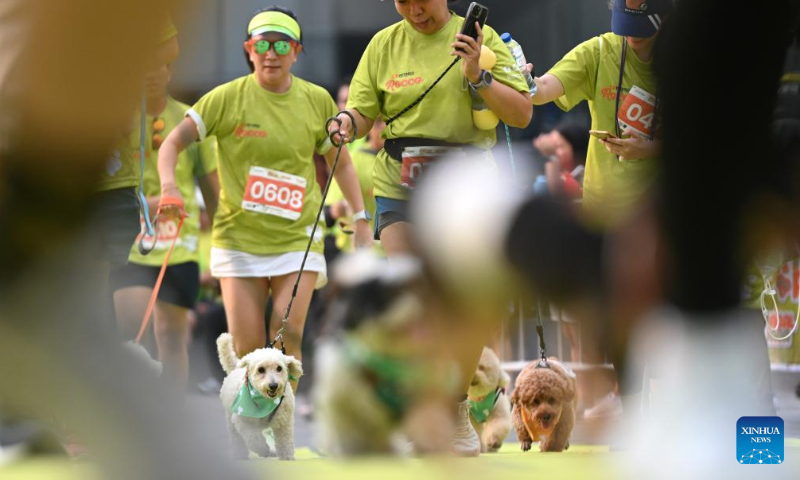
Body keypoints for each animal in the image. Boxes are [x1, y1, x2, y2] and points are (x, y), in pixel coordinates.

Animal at [217, 334, 302, 462]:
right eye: (261, 369)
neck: (266, 402)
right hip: (230, 417)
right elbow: (254, 438)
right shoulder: (243, 420)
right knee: (236, 437)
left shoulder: (284, 421)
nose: (273, 385)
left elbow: (285, 440)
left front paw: (287, 457)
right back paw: (241, 454)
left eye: (279, 368)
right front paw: (264, 449)